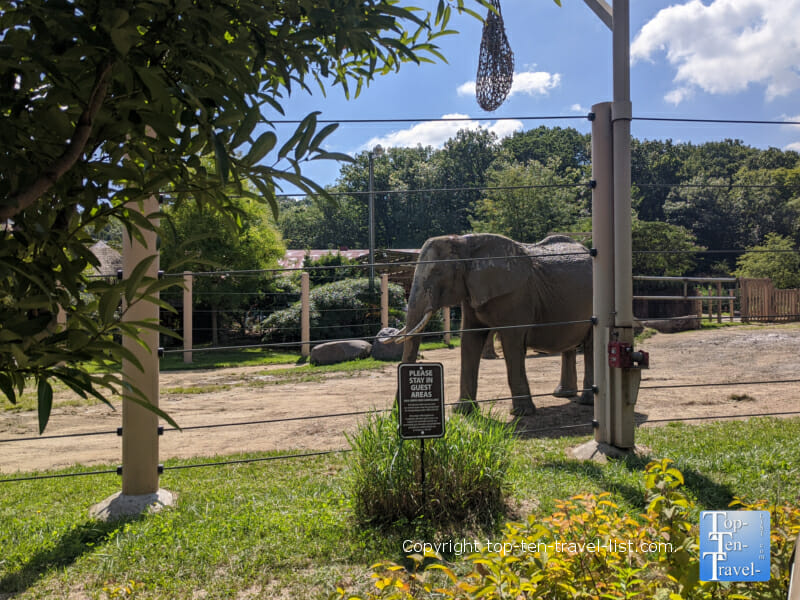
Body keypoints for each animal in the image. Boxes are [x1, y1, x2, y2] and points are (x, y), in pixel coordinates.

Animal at [394, 232, 592, 414]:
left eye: (438, 272)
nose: (394, 414)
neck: (466, 243)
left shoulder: (517, 296)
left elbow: (512, 344)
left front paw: (522, 413)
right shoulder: (471, 291)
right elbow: (470, 340)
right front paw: (463, 411)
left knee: (591, 345)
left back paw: (585, 401)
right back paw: (563, 395)